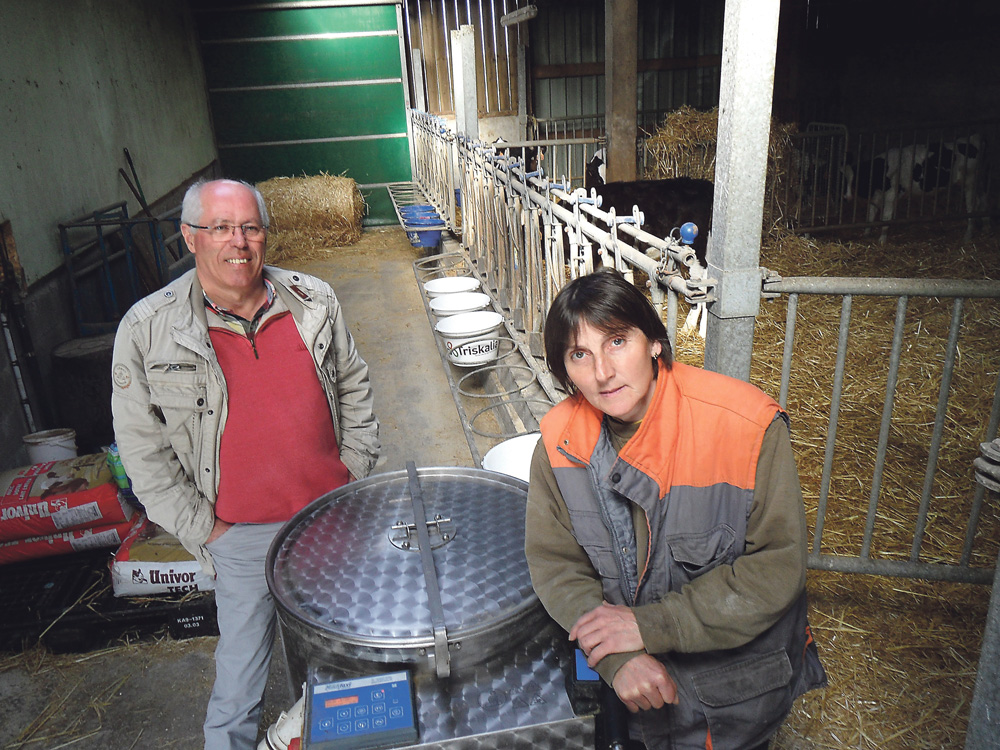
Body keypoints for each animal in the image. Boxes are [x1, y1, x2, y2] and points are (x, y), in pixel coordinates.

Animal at [844, 134, 984, 242]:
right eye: (844, 180)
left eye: (854, 181)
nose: (847, 197)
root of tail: (972, 139)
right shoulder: (875, 198)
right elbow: (870, 217)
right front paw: (866, 234)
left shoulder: (891, 196)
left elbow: (886, 219)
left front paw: (882, 240)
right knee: (979, 202)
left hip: (970, 182)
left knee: (971, 208)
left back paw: (967, 236)